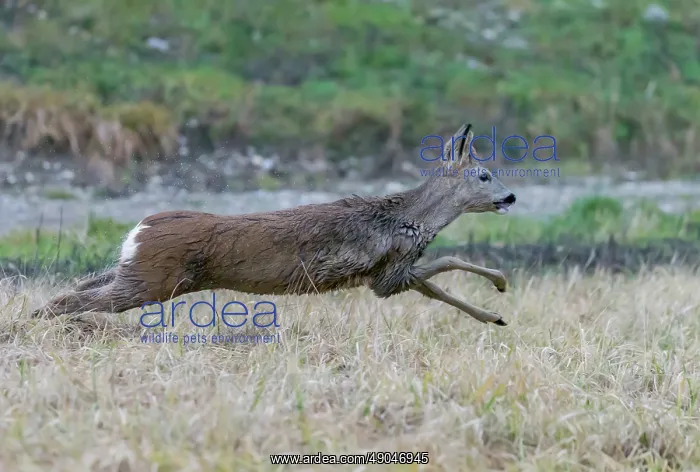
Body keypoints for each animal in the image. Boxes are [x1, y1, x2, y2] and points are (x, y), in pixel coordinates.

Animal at [31, 123, 517, 326]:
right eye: (484, 174)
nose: (510, 197)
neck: (409, 219)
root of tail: (141, 227)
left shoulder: (386, 275)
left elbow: (437, 286)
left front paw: (493, 316)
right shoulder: (389, 271)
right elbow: (449, 263)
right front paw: (500, 286)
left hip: (135, 270)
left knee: (75, 288)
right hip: (154, 279)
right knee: (75, 298)